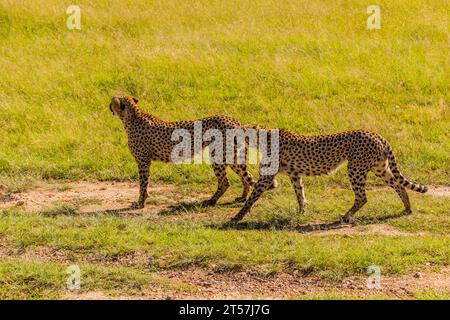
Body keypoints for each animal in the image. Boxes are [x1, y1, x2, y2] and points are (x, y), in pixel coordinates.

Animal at [109, 96, 256, 209]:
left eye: (112, 100)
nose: (109, 105)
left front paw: (140, 203)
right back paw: (242, 197)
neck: (131, 116)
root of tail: (235, 120)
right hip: (233, 157)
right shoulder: (145, 161)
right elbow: (145, 182)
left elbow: (143, 183)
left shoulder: (143, 161)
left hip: (219, 156)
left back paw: (211, 201)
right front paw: (142, 201)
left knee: (226, 181)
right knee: (247, 176)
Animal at [232, 129, 428, 224]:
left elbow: (252, 197)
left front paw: (236, 217)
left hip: (356, 168)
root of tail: (376, 134)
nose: (234, 136)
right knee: (398, 185)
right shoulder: (295, 174)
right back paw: (407, 208)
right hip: (380, 168)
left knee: (362, 197)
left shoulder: (267, 176)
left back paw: (346, 216)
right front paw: (302, 212)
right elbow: (300, 193)